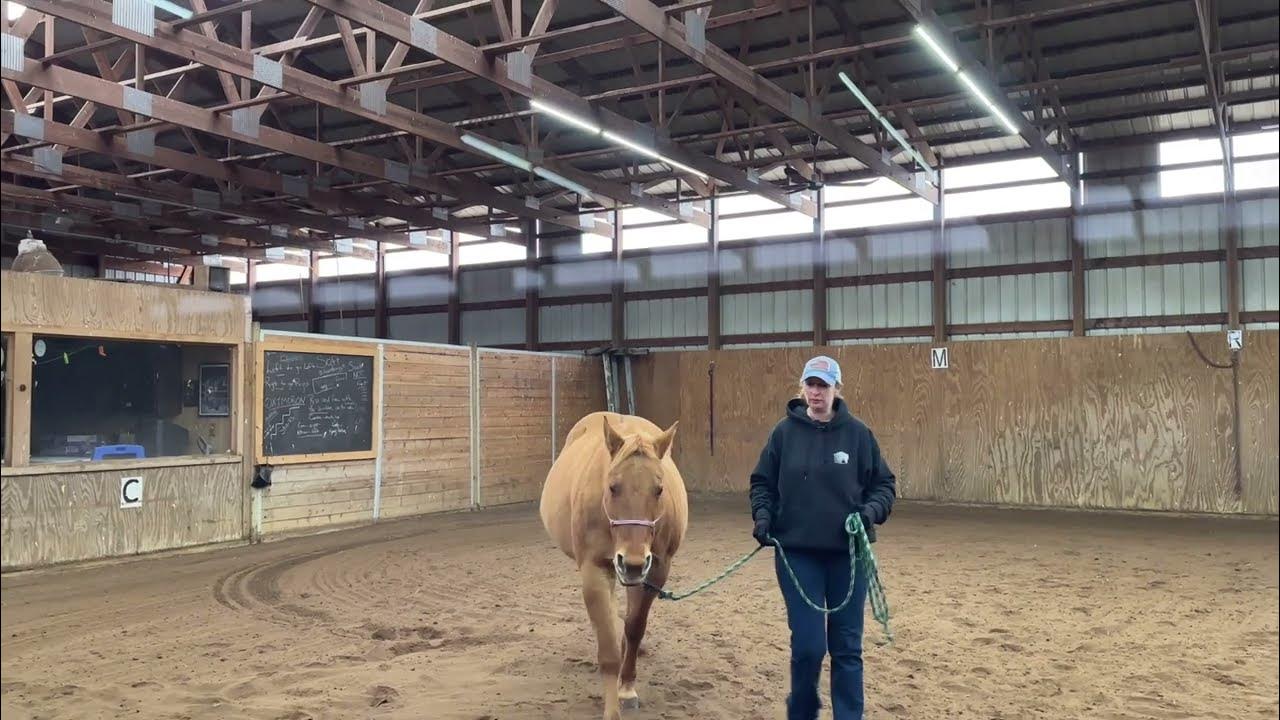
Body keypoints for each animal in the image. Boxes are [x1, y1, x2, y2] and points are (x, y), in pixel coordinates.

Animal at [539, 411, 689, 720]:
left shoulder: (655, 571)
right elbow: (607, 647)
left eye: (659, 489)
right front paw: (612, 708)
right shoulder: (595, 570)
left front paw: (627, 688)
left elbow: (634, 628)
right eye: (612, 486)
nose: (631, 562)